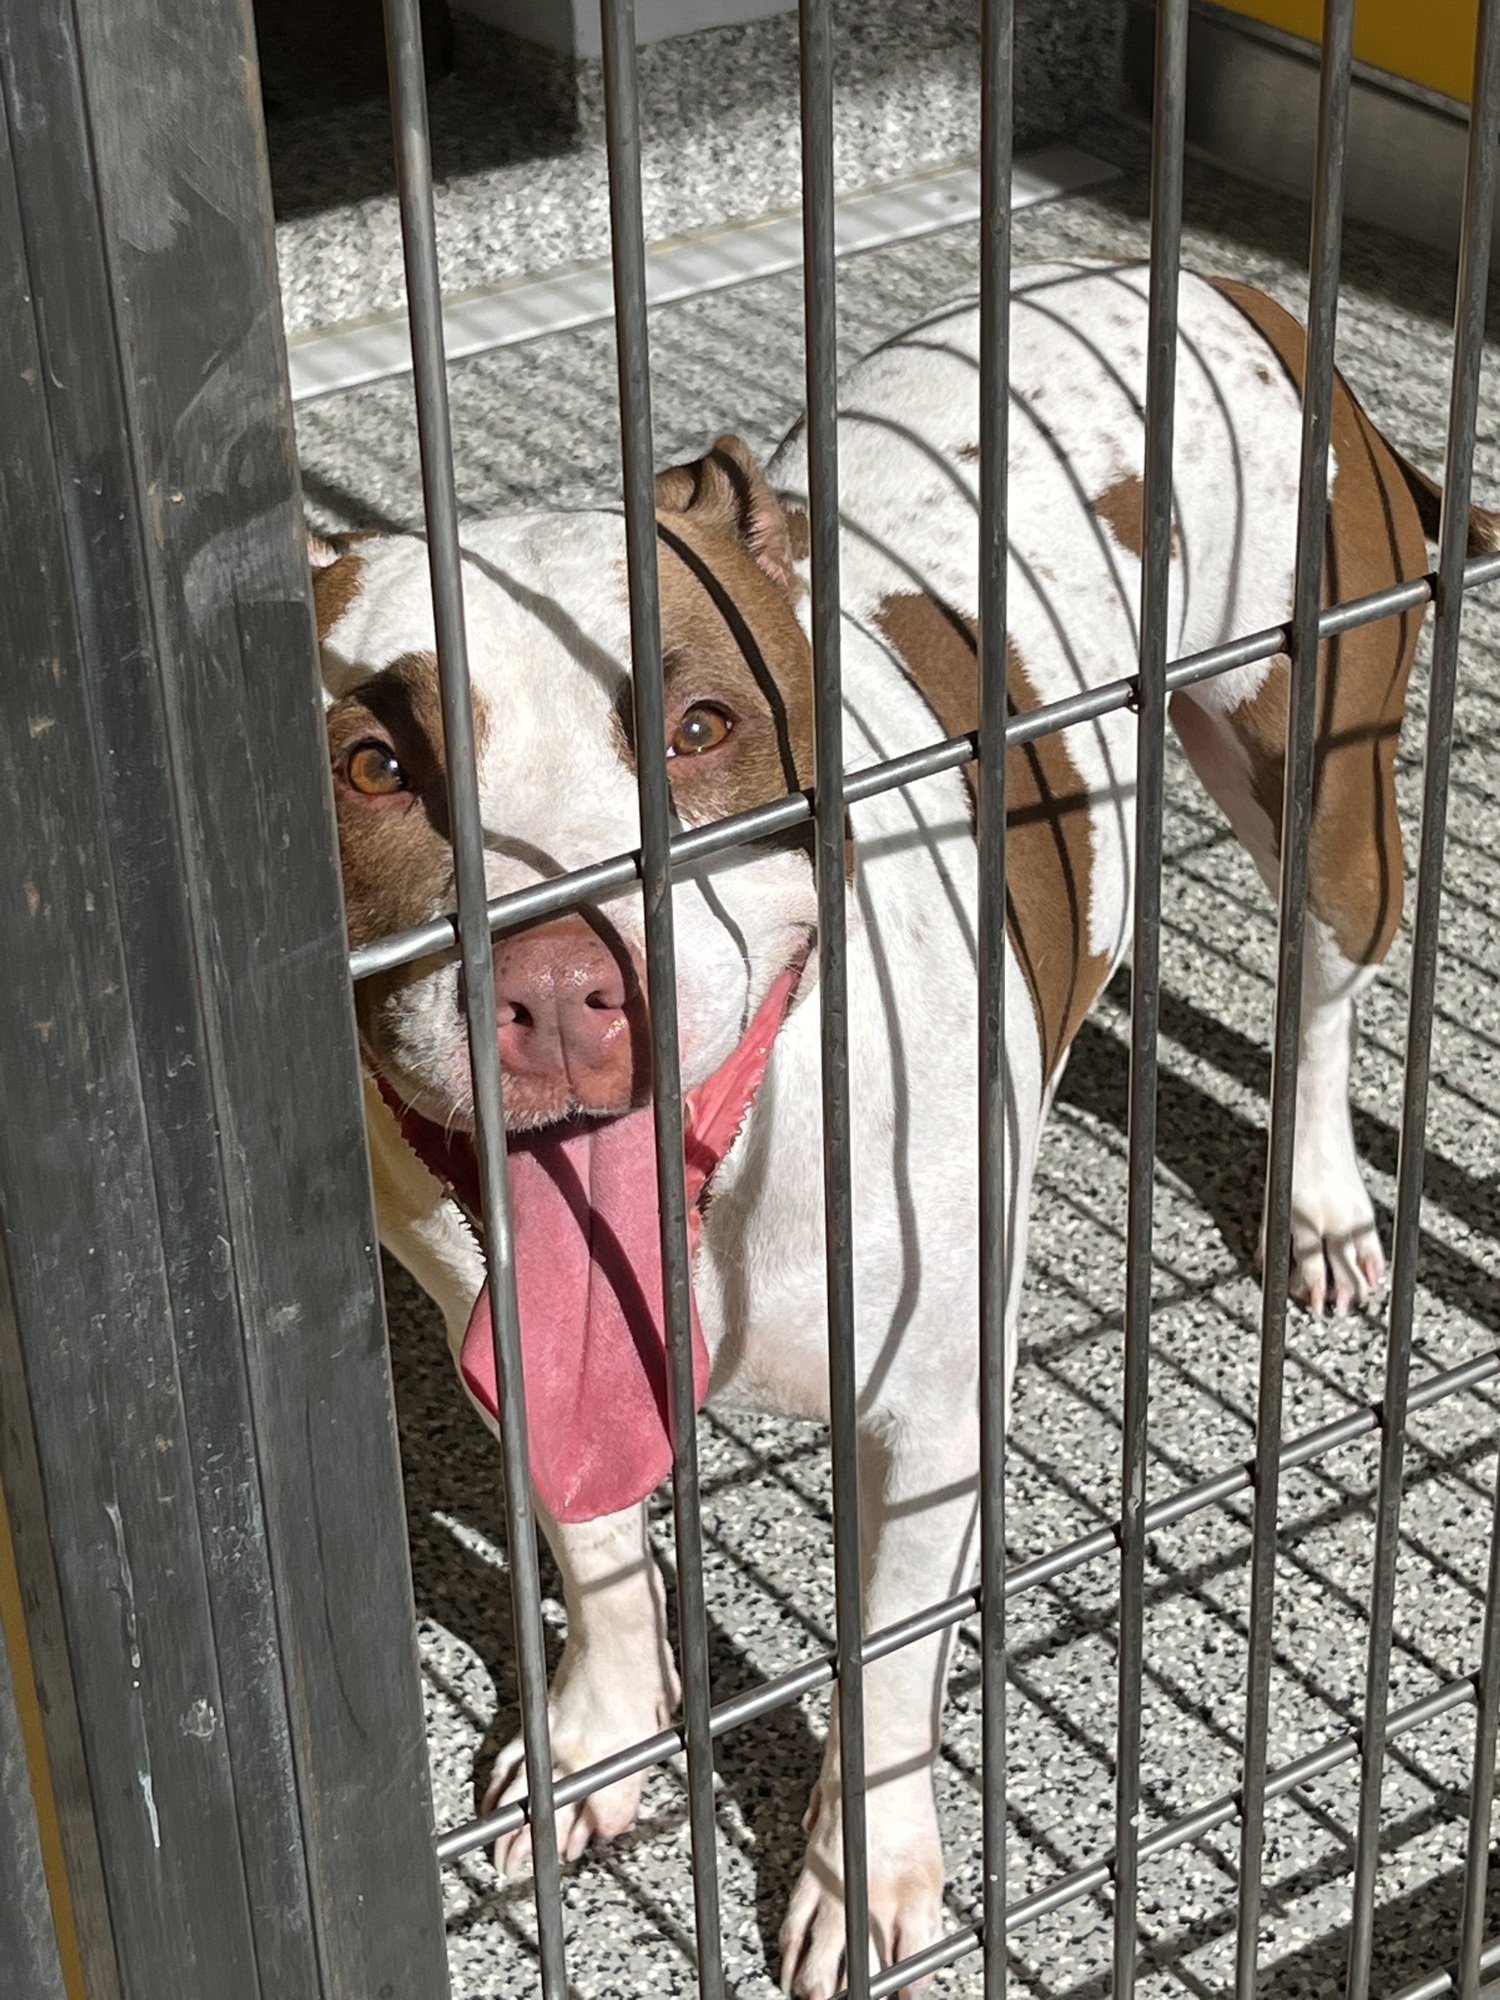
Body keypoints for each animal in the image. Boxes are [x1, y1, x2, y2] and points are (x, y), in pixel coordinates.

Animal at [308, 270, 1496, 2000]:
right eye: (374, 766)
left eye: (701, 728)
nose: (556, 987)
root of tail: (1225, 285)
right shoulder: (500, 1333)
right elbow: (595, 1551)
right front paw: (600, 1738)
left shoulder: (927, 1421)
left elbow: (881, 1665)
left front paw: (858, 1874)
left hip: (1325, 786)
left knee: (1326, 980)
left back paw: (1329, 1209)